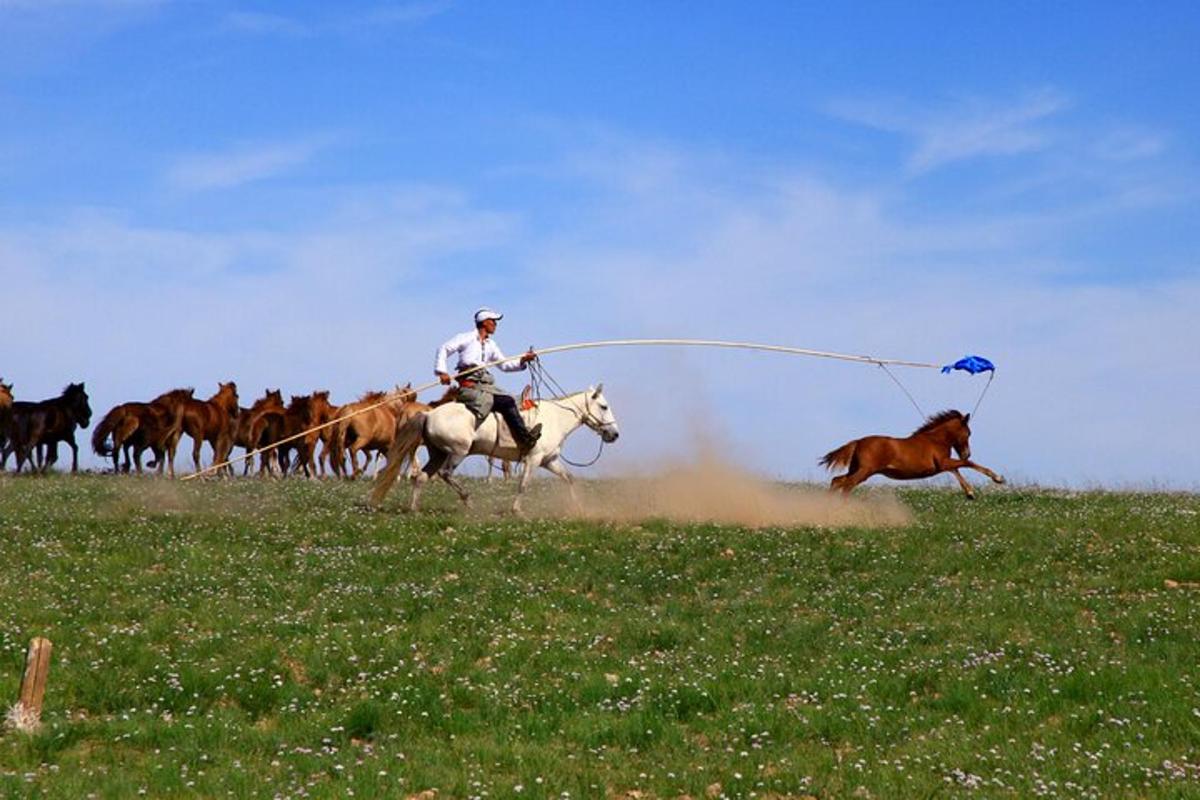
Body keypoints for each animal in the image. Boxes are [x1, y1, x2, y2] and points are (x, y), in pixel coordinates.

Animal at [372, 386, 619, 513]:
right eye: (604, 406)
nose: (614, 434)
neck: (555, 418)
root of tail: (428, 414)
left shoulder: (549, 461)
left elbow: (569, 478)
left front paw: (578, 507)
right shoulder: (533, 460)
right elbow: (523, 485)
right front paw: (517, 511)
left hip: (438, 453)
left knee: (421, 477)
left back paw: (414, 508)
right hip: (457, 452)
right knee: (444, 474)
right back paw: (467, 500)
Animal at [825, 410, 1003, 496]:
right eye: (968, 433)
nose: (967, 453)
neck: (936, 439)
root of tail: (857, 442)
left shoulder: (944, 464)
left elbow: (957, 469)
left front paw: (970, 493)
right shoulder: (943, 462)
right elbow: (966, 465)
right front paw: (998, 478)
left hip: (857, 469)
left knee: (837, 481)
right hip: (865, 470)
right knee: (847, 485)